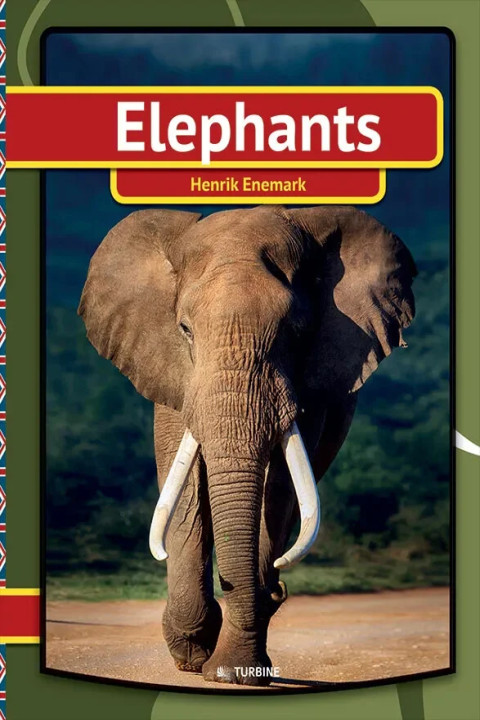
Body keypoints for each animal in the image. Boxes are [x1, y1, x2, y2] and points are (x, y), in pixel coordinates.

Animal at [78, 204, 416, 686]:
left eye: (297, 330)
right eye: (184, 329)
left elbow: (278, 489)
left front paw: (232, 671)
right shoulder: (172, 372)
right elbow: (185, 486)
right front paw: (193, 651)